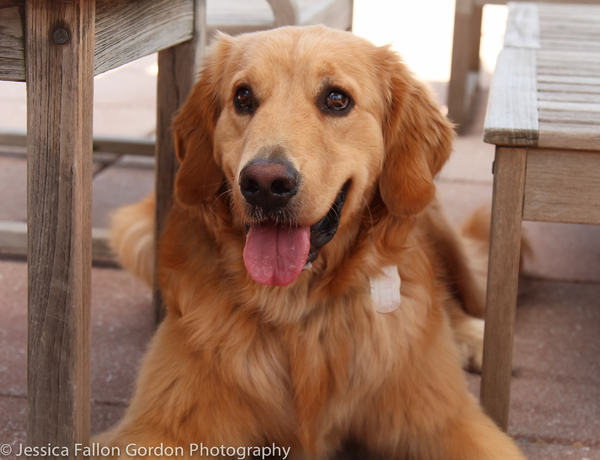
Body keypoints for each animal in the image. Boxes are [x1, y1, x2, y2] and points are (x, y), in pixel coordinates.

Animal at [102, 26, 524, 460]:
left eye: (337, 99)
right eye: (243, 97)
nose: (264, 184)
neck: (296, 308)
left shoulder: (448, 417)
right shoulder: (160, 425)